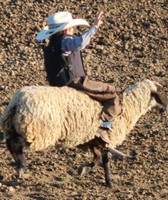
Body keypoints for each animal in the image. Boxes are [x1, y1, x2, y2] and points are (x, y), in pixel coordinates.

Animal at [0, 79, 167, 187]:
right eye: (161, 92)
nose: (164, 108)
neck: (129, 106)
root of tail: (17, 103)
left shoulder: (93, 139)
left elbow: (97, 159)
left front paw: (83, 169)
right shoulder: (106, 138)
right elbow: (105, 160)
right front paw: (108, 182)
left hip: (13, 127)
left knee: (9, 142)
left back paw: (18, 165)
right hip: (37, 132)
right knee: (15, 143)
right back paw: (21, 165)